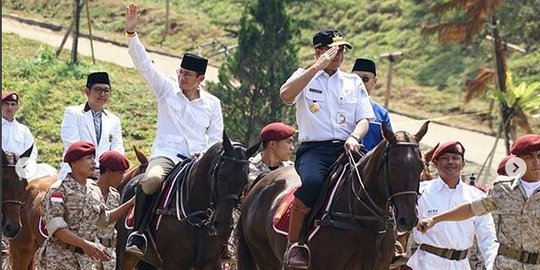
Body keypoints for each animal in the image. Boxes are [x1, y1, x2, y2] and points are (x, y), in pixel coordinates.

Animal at [115, 134, 258, 270]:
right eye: (221, 176)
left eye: (245, 181)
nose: (223, 225)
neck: (200, 220)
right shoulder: (173, 263)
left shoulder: (212, 263)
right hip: (126, 257)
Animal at [236, 123, 430, 270]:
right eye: (393, 166)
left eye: (420, 165)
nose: (408, 219)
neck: (364, 219)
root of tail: (264, 179)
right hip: (266, 257)